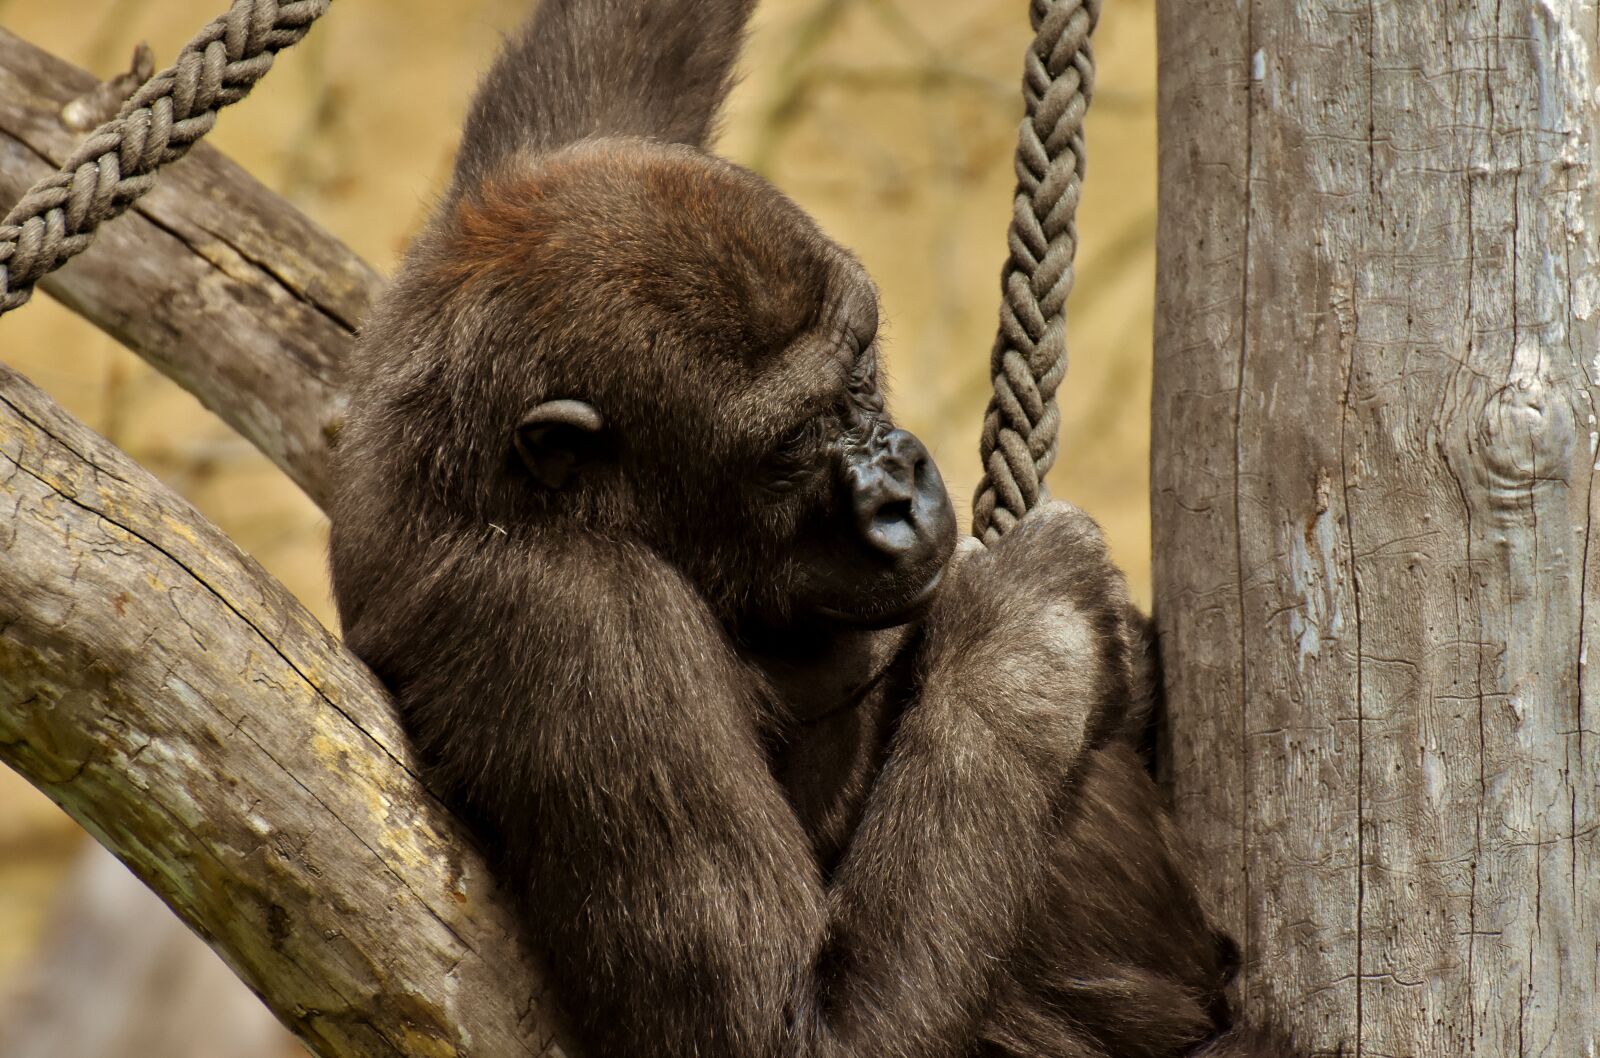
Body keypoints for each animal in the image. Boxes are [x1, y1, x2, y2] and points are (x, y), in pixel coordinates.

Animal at [328, 1, 1308, 1056]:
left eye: (862, 372)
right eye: (793, 443)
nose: (900, 487)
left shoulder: (497, 210)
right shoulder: (570, 619)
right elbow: (786, 1027)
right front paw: (1033, 633)